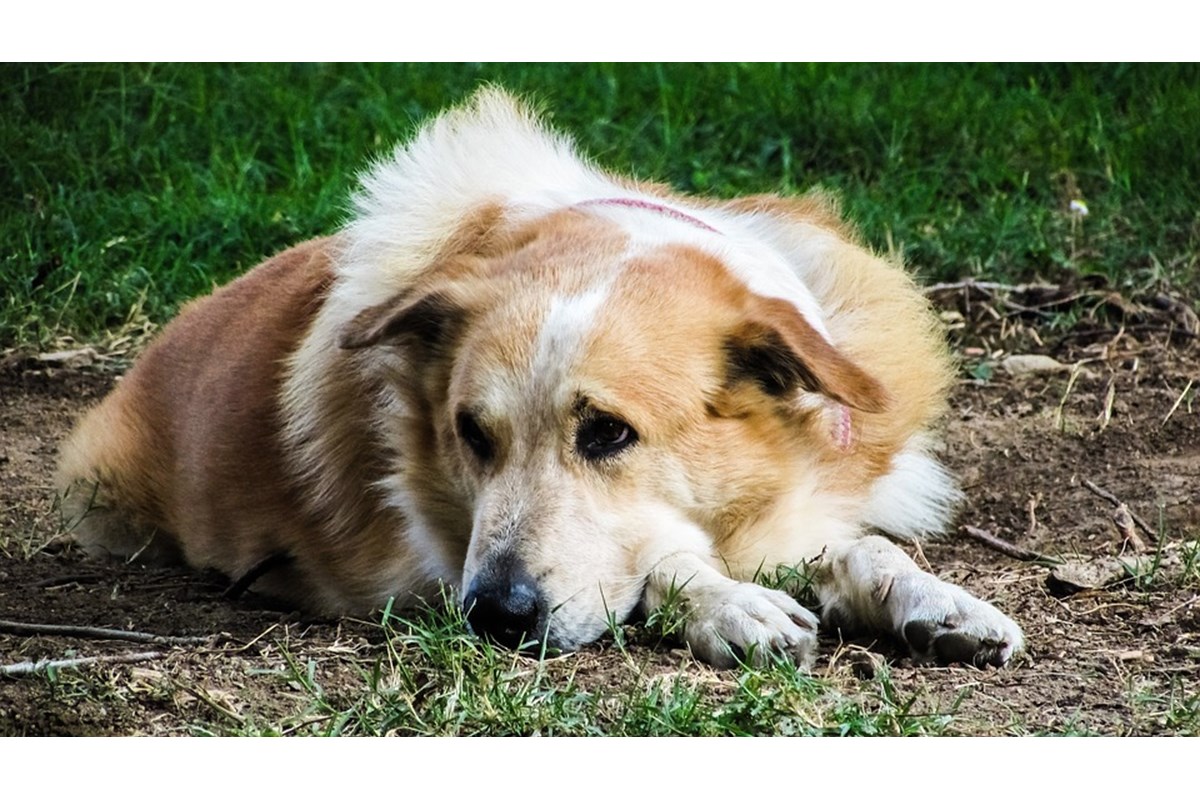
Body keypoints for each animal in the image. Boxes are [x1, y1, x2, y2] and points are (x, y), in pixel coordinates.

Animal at [54, 87, 1022, 671]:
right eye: (469, 436)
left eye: (609, 433)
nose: (497, 616)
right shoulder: (439, 560)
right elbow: (666, 562)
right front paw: (728, 605)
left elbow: (862, 544)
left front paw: (936, 600)